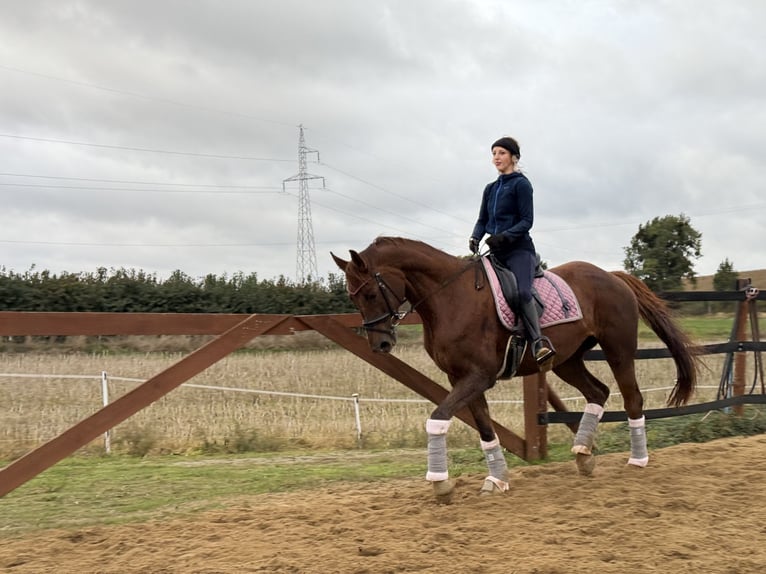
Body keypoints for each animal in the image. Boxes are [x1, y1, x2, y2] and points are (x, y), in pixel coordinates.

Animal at [332, 236, 699, 502]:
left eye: (369, 293)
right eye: (353, 297)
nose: (380, 345)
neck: (450, 298)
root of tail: (612, 276)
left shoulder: (478, 377)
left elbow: (437, 418)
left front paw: (440, 484)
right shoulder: (461, 378)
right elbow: (484, 428)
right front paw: (497, 479)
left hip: (618, 351)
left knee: (632, 398)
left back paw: (637, 460)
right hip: (567, 361)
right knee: (598, 392)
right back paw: (583, 455)